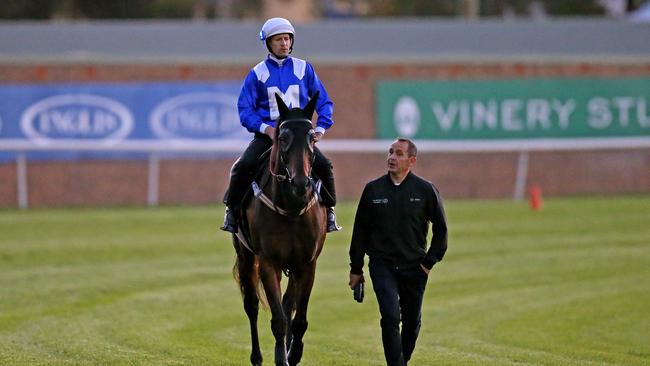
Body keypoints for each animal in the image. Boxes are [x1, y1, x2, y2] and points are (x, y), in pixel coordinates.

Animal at [232, 93, 324, 364]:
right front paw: (281, 357)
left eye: (312, 137)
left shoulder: (307, 264)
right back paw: (257, 357)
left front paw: (294, 353)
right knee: (251, 305)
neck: (291, 208)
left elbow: (298, 318)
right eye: (282, 138)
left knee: (288, 303)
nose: (301, 182)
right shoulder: (268, 262)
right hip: (245, 255)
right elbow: (278, 320)